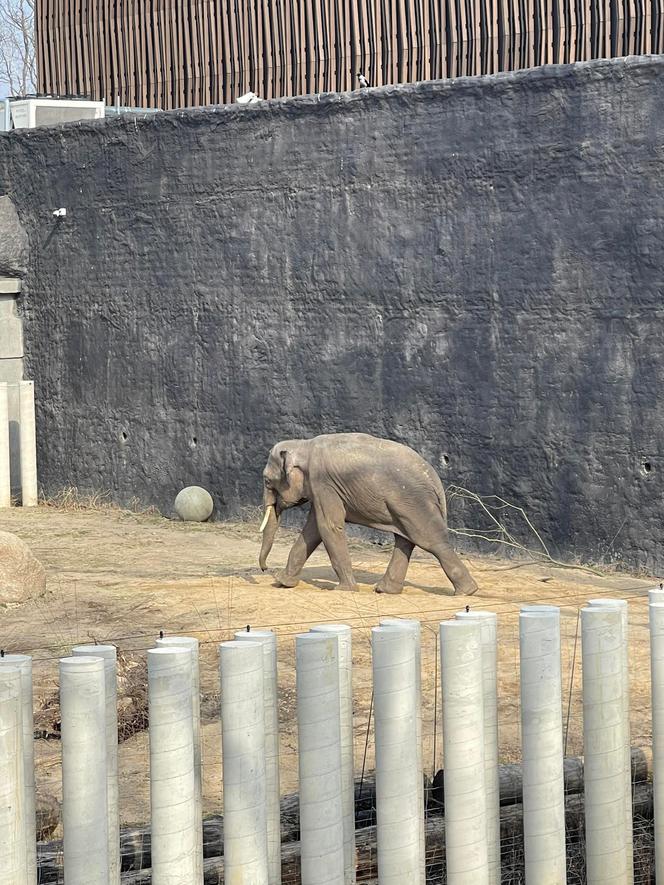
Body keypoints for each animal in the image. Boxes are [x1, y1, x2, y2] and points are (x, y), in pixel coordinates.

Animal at [255, 430, 478, 592]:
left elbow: (329, 527)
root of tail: (435, 478)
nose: (265, 569)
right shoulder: (322, 489)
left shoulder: (323, 483)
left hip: (413, 501)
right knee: (406, 540)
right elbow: (313, 530)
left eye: (267, 481)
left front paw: (344, 590)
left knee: (430, 541)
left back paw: (467, 592)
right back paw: (385, 590)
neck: (304, 445)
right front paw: (282, 583)